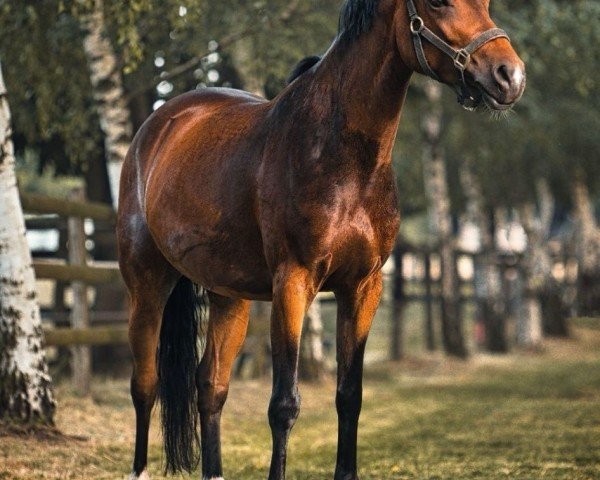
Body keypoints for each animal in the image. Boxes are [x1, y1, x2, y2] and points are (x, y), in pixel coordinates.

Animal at [118, 0, 524, 480]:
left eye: (487, 4)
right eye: (438, 3)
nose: (509, 76)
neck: (341, 156)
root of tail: (159, 125)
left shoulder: (363, 288)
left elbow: (349, 396)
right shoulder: (292, 284)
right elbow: (284, 404)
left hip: (228, 296)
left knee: (210, 385)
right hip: (147, 284)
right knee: (145, 384)